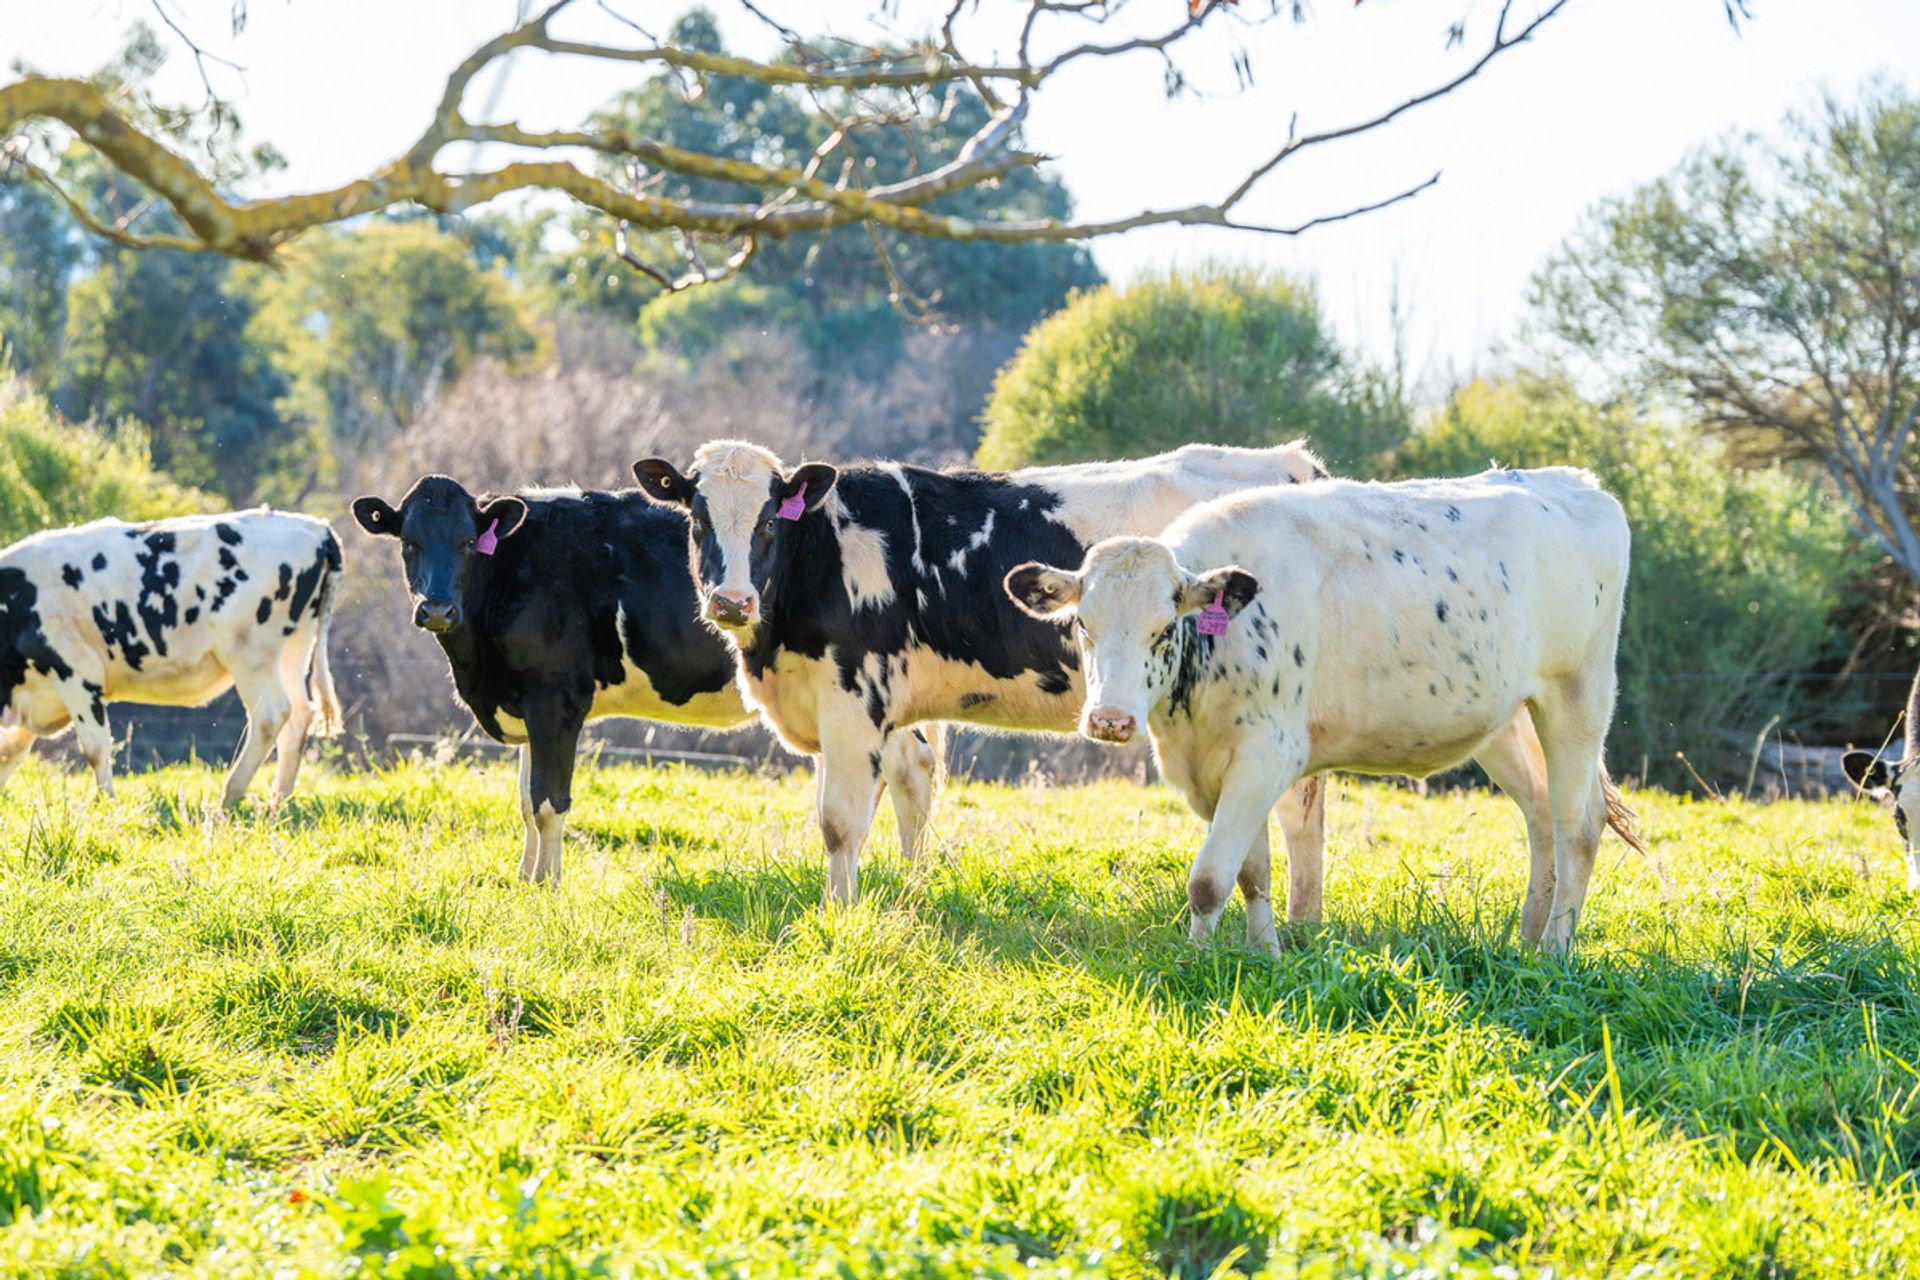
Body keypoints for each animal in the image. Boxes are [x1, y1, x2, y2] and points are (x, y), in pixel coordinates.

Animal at [0, 510, 343, 805]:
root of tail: (316, 527)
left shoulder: (78, 672)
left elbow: (95, 747)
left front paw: (107, 804)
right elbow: (9, 752)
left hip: (250, 653)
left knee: (271, 715)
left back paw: (230, 795)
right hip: (294, 647)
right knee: (299, 715)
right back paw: (276, 801)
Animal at [350, 475, 939, 884]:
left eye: (470, 543)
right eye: (408, 543)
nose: (437, 609)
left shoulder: (556, 699)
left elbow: (548, 801)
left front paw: (547, 886)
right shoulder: (527, 700)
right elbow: (523, 799)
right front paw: (522, 878)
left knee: (910, 768)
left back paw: (910, 876)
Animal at [631, 438, 1334, 913]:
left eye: (769, 519)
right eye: (696, 518)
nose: (731, 601)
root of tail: (1300, 465)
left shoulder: (851, 699)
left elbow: (839, 819)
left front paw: (839, 915)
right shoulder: (872, 707)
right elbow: (904, 791)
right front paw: (903, 891)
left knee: (1298, 813)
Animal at [1003, 467, 1644, 952]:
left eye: (1163, 629)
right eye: (1084, 625)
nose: (1110, 719)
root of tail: (1572, 481)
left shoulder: (1267, 755)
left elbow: (1209, 878)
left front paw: (1194, 958)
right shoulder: (1213, 766)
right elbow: (1250, 871)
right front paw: (1263, 952)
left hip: (1576, 694)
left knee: (1577, 826)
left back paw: (1556, 950)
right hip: (1507, 721)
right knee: (1541, 815)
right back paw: (1527, 941)